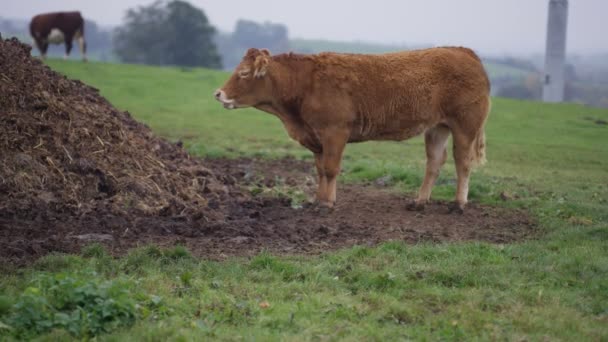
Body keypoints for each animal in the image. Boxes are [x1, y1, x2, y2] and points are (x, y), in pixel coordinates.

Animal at [214, 47, 490, 214]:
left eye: (244, 73)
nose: (218, 93)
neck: (305, 84)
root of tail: (463, 51)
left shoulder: (335, 132)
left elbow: (330, 169)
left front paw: (327, 203)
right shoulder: (316, 137)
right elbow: (320, 170)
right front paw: (318, 199)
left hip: (465, 125)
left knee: (462, 162)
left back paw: (459, 203)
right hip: (436, 128)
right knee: (434, 161)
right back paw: (420, 201)